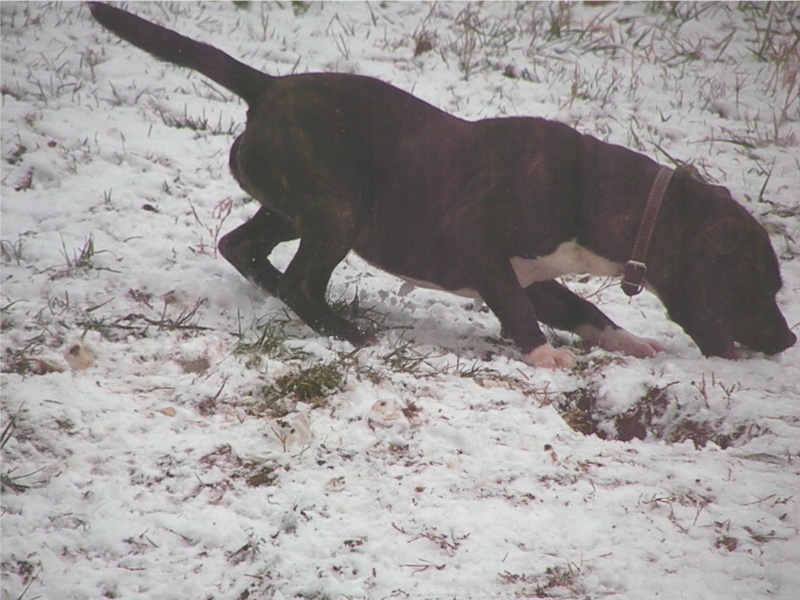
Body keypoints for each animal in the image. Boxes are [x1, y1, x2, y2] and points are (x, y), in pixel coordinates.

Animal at [89, 3, 792, 370]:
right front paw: (546, 359)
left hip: (295, 207)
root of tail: (267, 87)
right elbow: (518, 312)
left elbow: (584, 310)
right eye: (759, 283)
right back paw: (349, 333)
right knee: (299, 280)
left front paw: (630, 341)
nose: (788, 341)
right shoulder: (481, 243)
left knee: (243, 248)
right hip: (339, 210)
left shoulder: (535, 271)